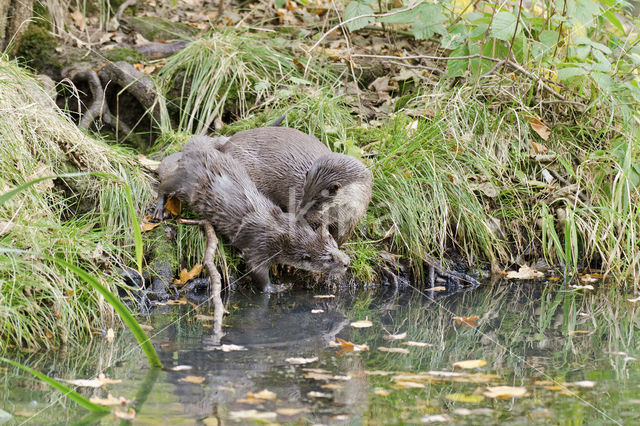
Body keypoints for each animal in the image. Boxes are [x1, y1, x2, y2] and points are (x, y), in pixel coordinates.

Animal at [156, 142, 350, 292]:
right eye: (329, 260)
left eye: (333, 244)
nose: (347, 262)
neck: (280, 230)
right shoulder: (259, 246)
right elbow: (257, 272)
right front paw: (277, 288)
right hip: (181, 182)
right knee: (162, 185)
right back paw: (159, 210)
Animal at [176, 126, 376, 246]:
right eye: (303, 193)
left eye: (317, 201)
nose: (299, 214)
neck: (339, 214)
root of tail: (228, 142)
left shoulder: (352, 219)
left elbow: (340, 238)